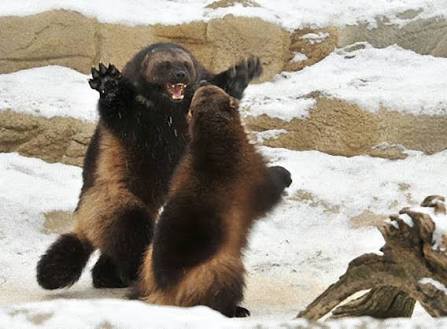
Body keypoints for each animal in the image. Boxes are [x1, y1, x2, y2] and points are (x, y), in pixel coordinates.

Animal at [36, 42, 264, 288]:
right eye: (165, 65)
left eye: (185, 64)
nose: (180, 74)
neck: (168, 109)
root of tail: (83, 224)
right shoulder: (138, 115)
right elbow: (119, 113)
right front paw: (108, 83)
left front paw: (241, 74)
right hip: (115, 204)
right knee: (132, 237)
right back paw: (136, 273)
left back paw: (108, 276)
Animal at [132, 86, 294, 316]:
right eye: (220, 90)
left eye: (205, 92)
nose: (204, 82)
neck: (212, 146)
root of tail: (163, 296)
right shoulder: (253, 172)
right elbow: (270, 191)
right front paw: (285, 174)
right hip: (221, 268)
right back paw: (236, 310)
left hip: (146, 259)